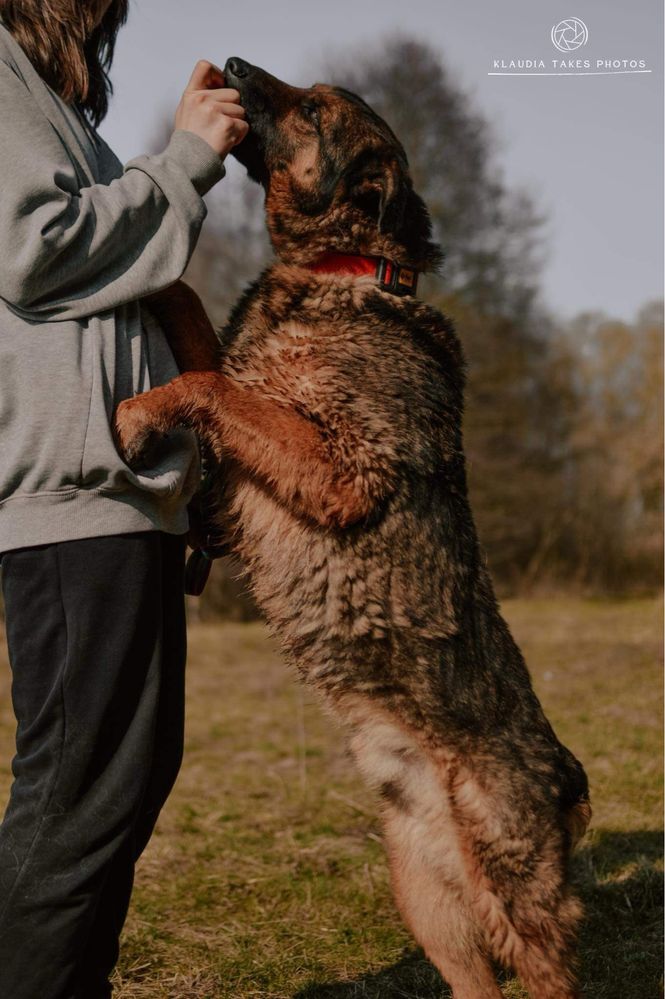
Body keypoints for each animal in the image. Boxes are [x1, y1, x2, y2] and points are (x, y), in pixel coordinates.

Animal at [115, 58, 592, 996]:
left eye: (310, 109)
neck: (350, 268)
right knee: (472, 980)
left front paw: (138, 412)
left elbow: (207, 386)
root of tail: (560, 772)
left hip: (514, 892)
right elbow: (200, 337)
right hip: (425, 893)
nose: (232, 63)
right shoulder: (253, 426)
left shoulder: (339, 467)